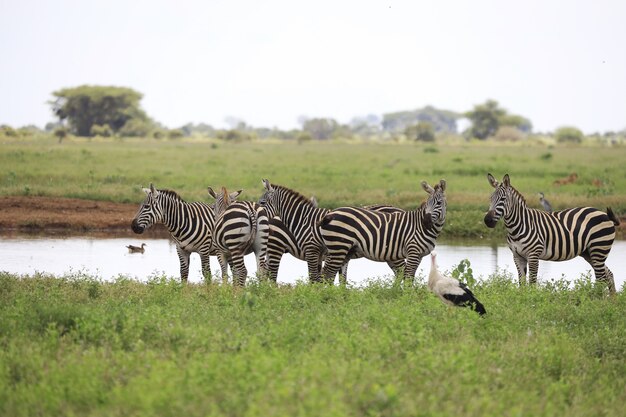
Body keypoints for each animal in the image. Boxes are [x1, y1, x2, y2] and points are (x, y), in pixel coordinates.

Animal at [258, 180, 404, 284]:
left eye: (262, 202)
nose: (257, 214)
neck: (304, 218)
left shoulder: (313, 249)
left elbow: (317, 277)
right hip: (275, 247)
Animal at [480, 172, 616, 292]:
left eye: (503, 199)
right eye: (490, 198)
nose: (487, 220)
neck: (516, 228)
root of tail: (604, 214)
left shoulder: (533, 255)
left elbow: (532, 283)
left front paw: (531, 300)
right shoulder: (517, 256)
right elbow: (522, 284)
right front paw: (523, 299)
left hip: (598, 248)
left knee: (601, 278)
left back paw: (596, 300)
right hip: (589, 252)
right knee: (608, 274)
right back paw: (611, 301)